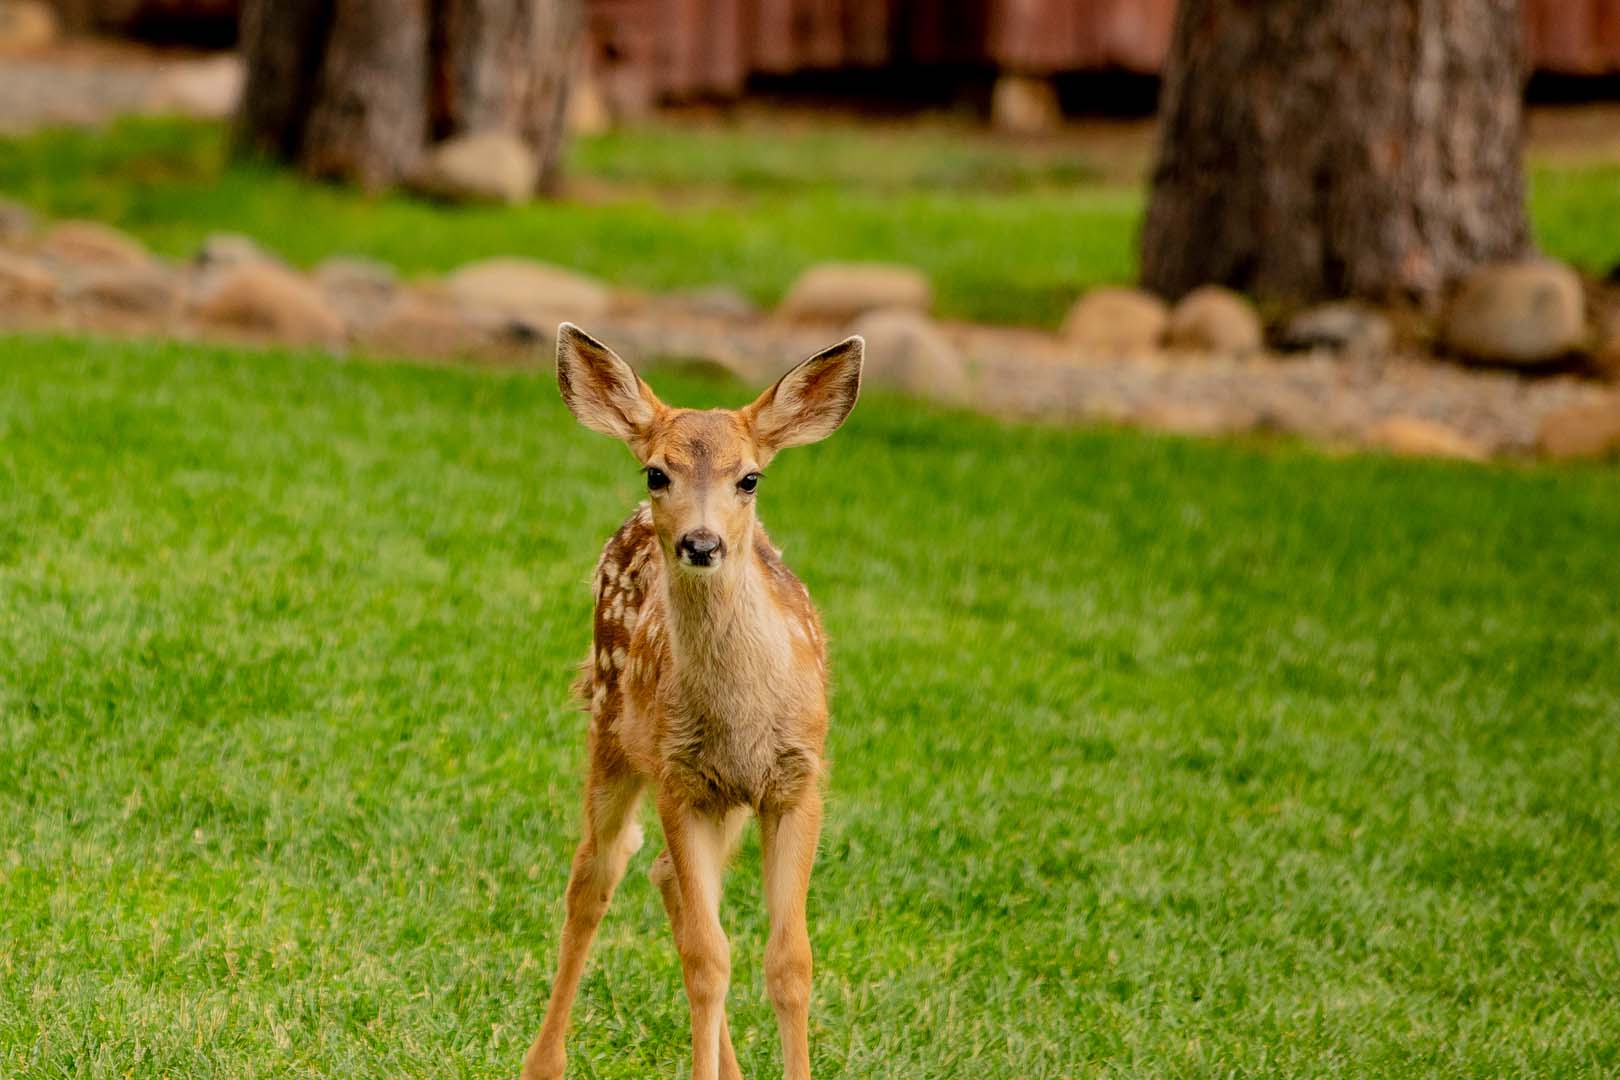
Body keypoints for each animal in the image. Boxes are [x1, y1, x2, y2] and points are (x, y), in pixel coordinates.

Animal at [524, 320, 868, 1080]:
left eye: (750, 478)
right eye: (658, 472)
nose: (701, 542)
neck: (740, 716)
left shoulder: (797, 780)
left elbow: (790, 961)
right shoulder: (680, 779)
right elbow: (710, 958)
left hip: (725, 802)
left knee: (663, 877)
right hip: (614, 731)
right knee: (597, 873)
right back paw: (544, 1060)